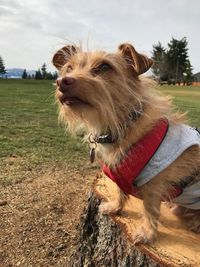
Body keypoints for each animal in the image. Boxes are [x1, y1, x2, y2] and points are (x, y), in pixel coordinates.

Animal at [52, 42, 200, 245]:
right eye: (69, 68)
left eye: (104, 67)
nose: (62, 81)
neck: (119, 126)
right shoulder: (118, 173)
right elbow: (119, 190)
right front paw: (115, 207)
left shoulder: (154, 182)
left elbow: (150, 209)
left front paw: (147, 233)